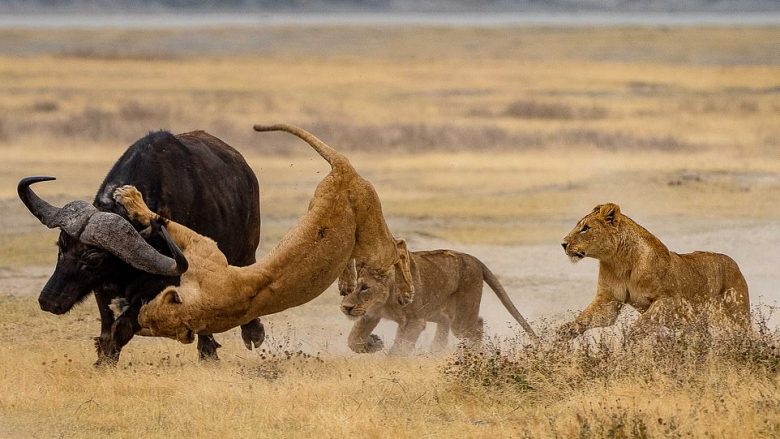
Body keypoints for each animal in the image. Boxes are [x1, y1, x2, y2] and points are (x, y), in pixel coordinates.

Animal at [19, 131, 266, 364]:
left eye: (94, 257)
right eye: (61, 246)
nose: (48, 300)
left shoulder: (161, 284)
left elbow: (122, 327)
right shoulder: (102, 287)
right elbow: (107, 327)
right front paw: (103, 359)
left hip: (246, 251)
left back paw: (243, 337)